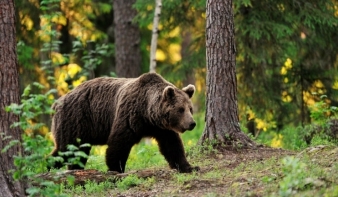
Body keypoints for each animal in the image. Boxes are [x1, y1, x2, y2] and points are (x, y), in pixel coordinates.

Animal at [49, 72, 199, 172]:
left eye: (190, 109)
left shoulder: (161, 128)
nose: (192, 123)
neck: (147, 113)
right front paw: (116, 168)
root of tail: (57, 103)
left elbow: (172, 145)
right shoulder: (130, 116)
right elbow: (119, 143)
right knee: (67, 149)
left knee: (77, 152)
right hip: (76, 120)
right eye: (180, 109)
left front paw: (189, 167)